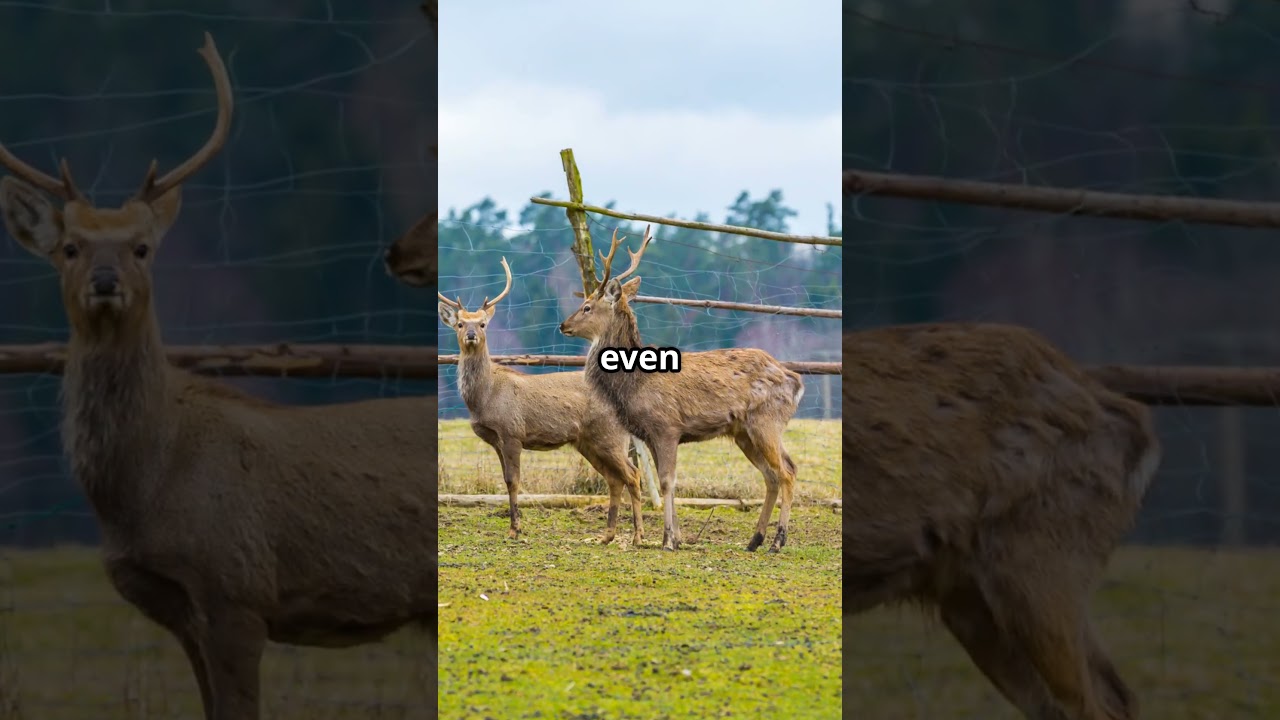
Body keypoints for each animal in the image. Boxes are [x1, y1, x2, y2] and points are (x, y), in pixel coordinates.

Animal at [0, 33, 438, 720]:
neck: (144, 486)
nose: (106, 282)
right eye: (69, 248)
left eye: (142, 247)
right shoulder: (183, 612)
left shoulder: (236, 588)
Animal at [430, 256, 646, 544]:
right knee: (615, 479)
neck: (485, 397)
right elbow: (505, 480)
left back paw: (638, 536)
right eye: (460, 323)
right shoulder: (496, 440)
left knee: (632, 474)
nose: (471, 335)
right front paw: (515, 526)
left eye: (483, 324)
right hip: (589, 441)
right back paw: (607, 536)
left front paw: (515, 529)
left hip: (609, 435)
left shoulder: (512, 431)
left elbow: (514, 480)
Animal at [559, 226, 805, 553]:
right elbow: (667, 481)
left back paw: (777, 542)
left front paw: (666, 540)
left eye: (587, 306)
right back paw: (754, 540)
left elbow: (667, 481)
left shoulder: (666, 426)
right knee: (771, 476)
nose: (563, 325)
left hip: (767, 421)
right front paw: (676, 538)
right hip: (744, 432)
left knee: (788, 471)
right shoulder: (650, 434)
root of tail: (795, 380)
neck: (633, 381)